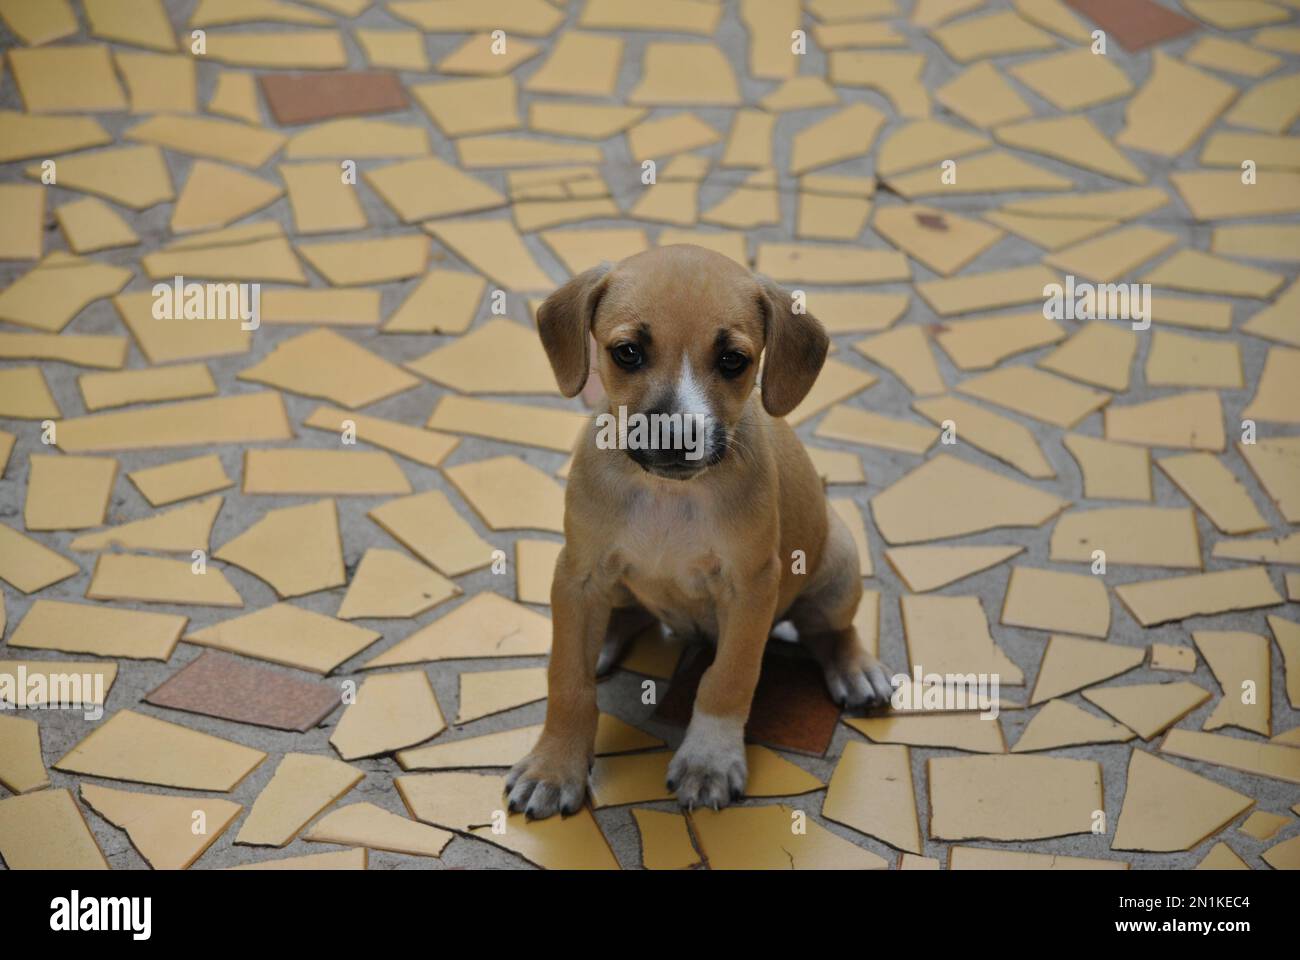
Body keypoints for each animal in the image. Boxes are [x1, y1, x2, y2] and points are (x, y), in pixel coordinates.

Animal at [506, 240, 894, 816]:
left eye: (733, 360)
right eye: (627, 352)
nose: (675, 435)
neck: (669, 497)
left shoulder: (752, 586)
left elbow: (728, 678)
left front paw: (709, 759)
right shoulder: (578, 574)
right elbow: (569, 681)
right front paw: (554, 767)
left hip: (839, 562)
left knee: (831, 630)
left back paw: (854, 668)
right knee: (624, 617)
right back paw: (603, 642)